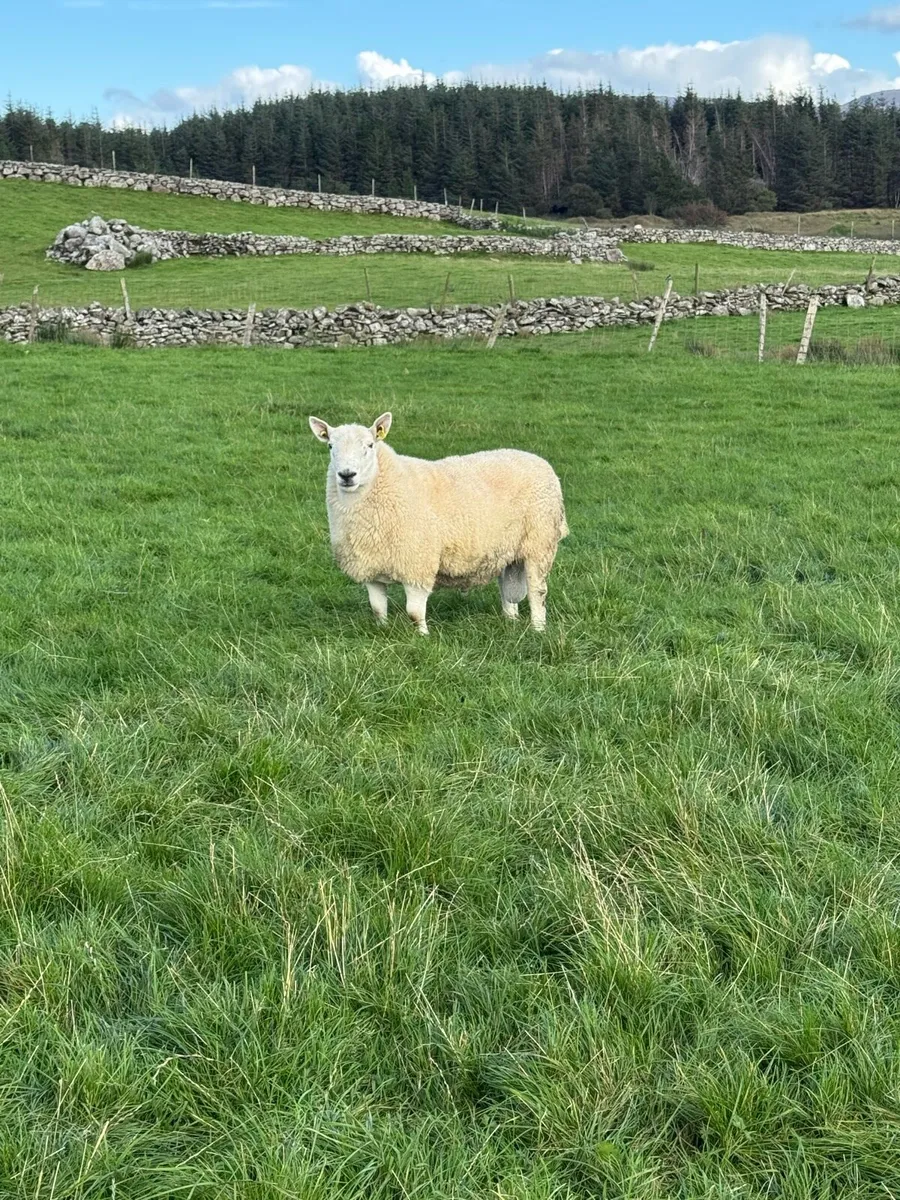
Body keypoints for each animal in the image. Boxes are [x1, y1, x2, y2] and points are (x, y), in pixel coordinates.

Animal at [308, 412, 568, 635]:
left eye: (370, 445)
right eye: (330, 446)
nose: (347, 475)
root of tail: (540, 461)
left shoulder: (417, 563)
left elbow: (414, 612)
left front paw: (423, 637)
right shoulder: (371, 568)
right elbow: (378, 608)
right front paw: (382, 630)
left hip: (540, 542)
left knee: (537, 591)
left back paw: (538, 629)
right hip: (506, 550)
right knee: (507, 590)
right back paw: (510, 621)